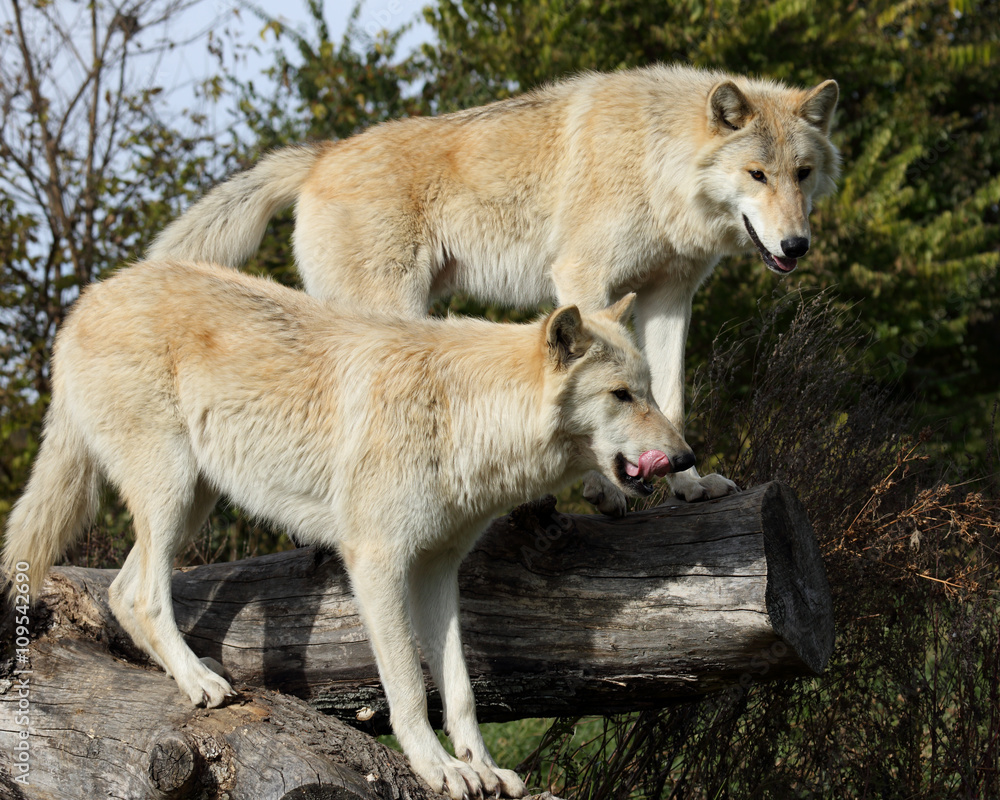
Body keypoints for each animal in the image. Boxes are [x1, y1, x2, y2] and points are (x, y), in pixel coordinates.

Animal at [2, 260, 693, 798]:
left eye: (650, 391)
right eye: (622, 395)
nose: (685, 458)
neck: (464, 414)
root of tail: (89, 299)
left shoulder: (439, 569)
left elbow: (460, 690)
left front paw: (485, 769)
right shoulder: (377, 563)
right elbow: (409, 686)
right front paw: (440, 770)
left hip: (193, 499)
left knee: (121, 592)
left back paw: (191, 672)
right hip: (172, 492)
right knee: (143, 595)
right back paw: (201, 682)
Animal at [148, 64, 840, 512]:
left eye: (802, 174)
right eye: (757, 174)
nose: (796, 246)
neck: (656, 160)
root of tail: (320, 155)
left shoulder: (671, 297)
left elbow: (669, 395)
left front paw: (690, 485)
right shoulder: (582, 276)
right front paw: (606, 488)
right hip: (389, 312)